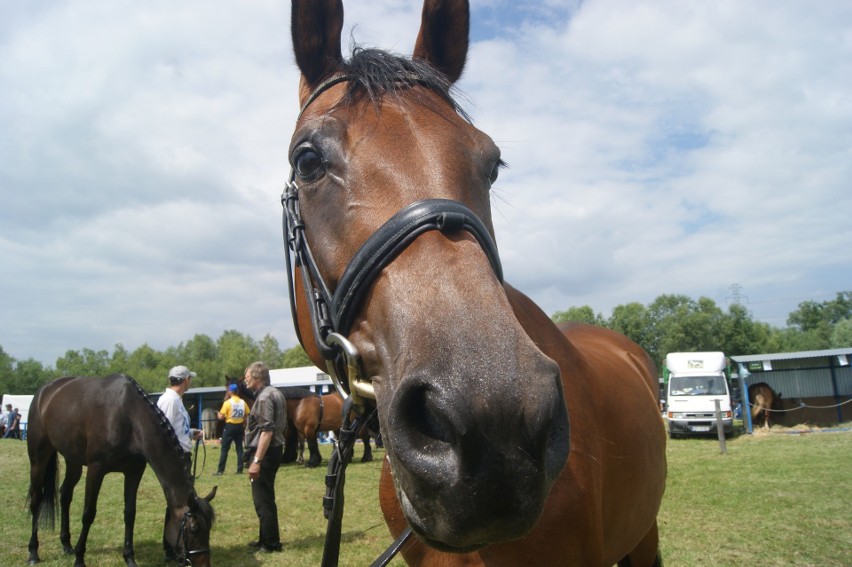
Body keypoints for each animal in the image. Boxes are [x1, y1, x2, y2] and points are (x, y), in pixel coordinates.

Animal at [26, 378, 216, 567]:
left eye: (209, 527)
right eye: (194, 529)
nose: (204, 565)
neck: (128, 417)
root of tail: (44, 392)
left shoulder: (134, 472)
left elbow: (130, 513)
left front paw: (129, 557)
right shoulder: (96, 470)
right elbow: (88, 513)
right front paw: (80, 558)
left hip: (72, 461)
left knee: (65, 495)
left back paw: (66, 545)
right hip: (38, 459)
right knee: (36, 500)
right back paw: (33, 552)